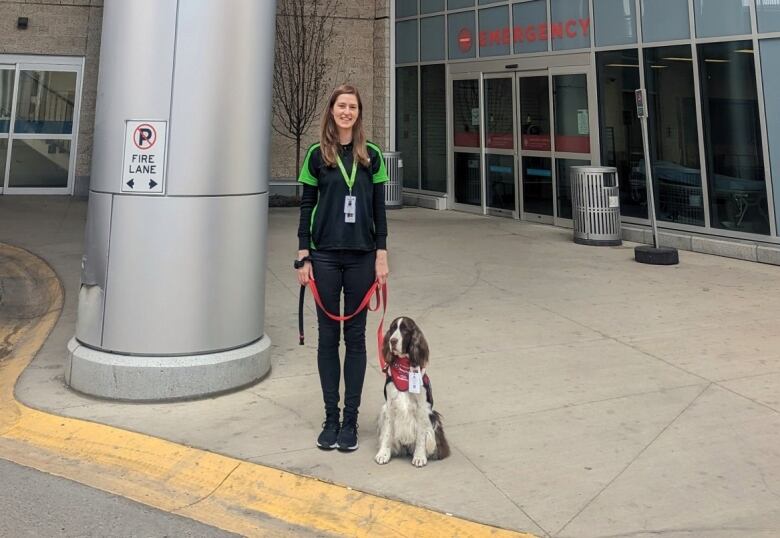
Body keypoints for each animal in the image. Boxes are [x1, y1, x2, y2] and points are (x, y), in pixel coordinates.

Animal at [374, 314, 448, 464]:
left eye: (405, 330)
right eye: (392, 329)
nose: (392, 341)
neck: (404, 368)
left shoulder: (421, 407)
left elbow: (421, 435)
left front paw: (419, 457)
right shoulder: (390, 406)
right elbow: (387, 432)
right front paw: (383, 454)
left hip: (433, 416)